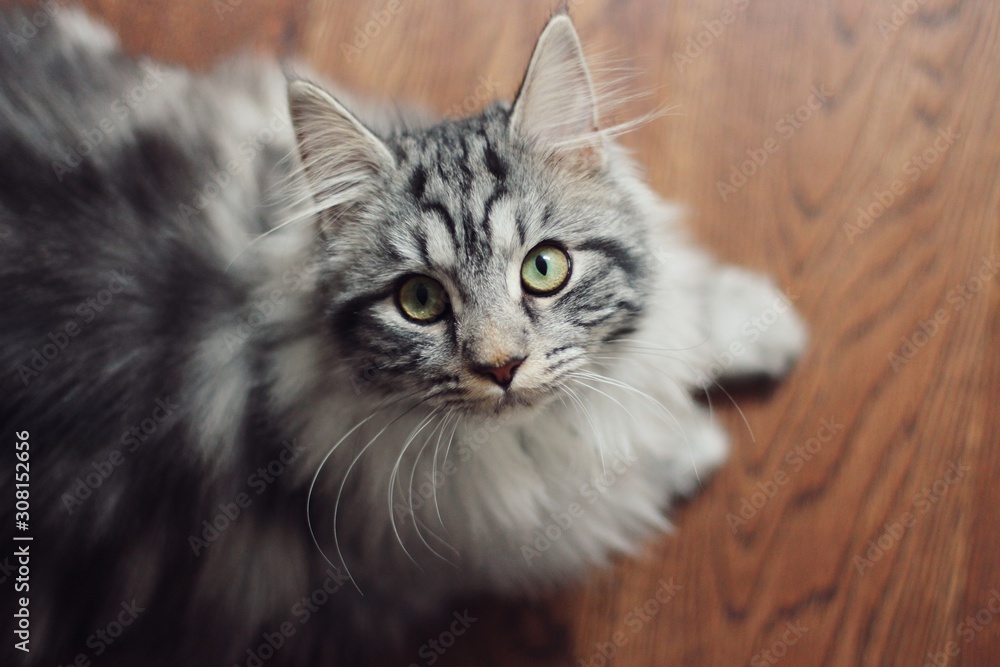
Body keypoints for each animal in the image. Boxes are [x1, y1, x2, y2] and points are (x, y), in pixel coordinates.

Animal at [0, 6, 808, 667]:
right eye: (419, 300)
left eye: (544, 268)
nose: (503, 366)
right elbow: (635, 450)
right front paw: (696, 442)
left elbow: (682, 316)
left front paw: (761, 323)